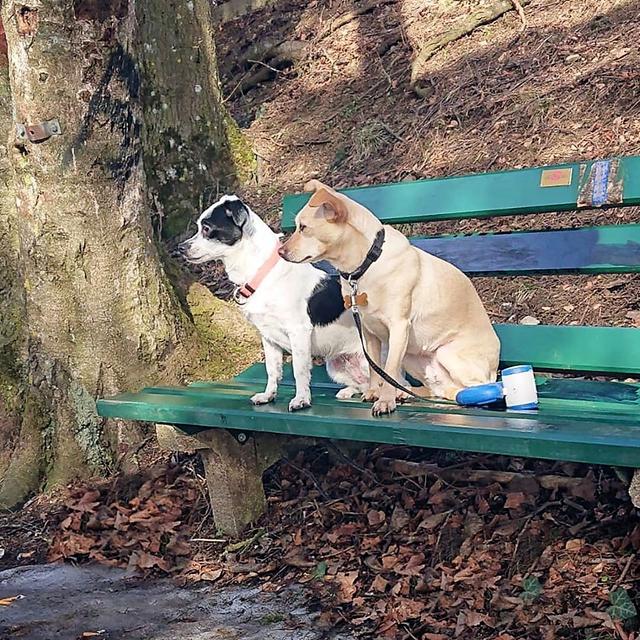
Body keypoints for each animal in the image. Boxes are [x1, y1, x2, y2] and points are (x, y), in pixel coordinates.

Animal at [180, 195, 370, 412]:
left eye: (207, 228)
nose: (181, 248)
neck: (263, 273)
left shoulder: (298, 332)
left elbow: (299, 370)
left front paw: (301, 399)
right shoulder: (268, 337)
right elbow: (272, 370)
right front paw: (268, 395)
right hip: (336, 367)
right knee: (363, 384)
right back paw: (351, 392)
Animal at [280, 180, 500, 418]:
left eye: (303, 227)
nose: (280, 252)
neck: (366, 266)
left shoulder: (398, 328)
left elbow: (389, 369)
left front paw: (385, 401)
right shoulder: (368, 333)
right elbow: (376, 369)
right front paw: (374, 394)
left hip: (447, 354)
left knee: (473, 388)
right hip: (412, 356)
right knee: (439, 389)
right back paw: (407, 393)